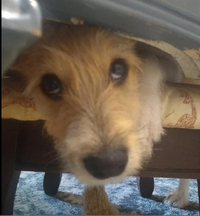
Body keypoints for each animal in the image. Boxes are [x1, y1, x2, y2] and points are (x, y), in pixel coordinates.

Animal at [4, 19, 186, 213]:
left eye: (118, 68)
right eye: (50, 84)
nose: (108, 165)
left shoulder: (171, 63)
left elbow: (148, 63)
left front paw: (144, 123)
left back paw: (180, 196)